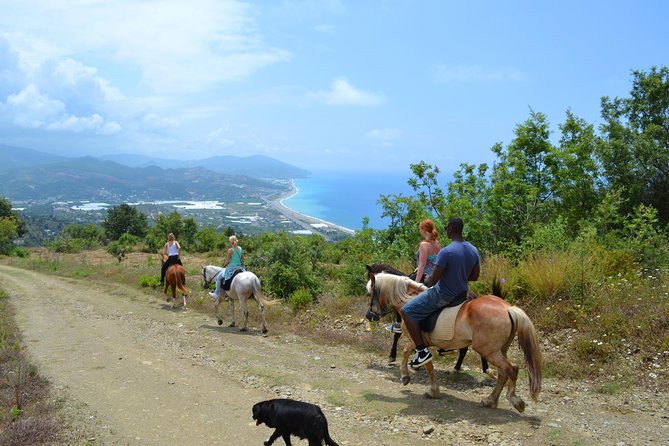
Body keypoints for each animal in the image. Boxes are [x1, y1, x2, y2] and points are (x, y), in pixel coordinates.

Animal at [362, 274, 540, 412]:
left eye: (370, 293)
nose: (369, 315)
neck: (408, 300)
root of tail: (507, 307)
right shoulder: (422, 343)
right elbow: (424, 363)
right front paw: (426, 386)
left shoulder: (416, 341)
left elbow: (413, 355)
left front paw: (409, 378)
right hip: (499, 350)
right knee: (503, 373)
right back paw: (490, 400)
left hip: (488, 350)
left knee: (512, 370)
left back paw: (515, 400)